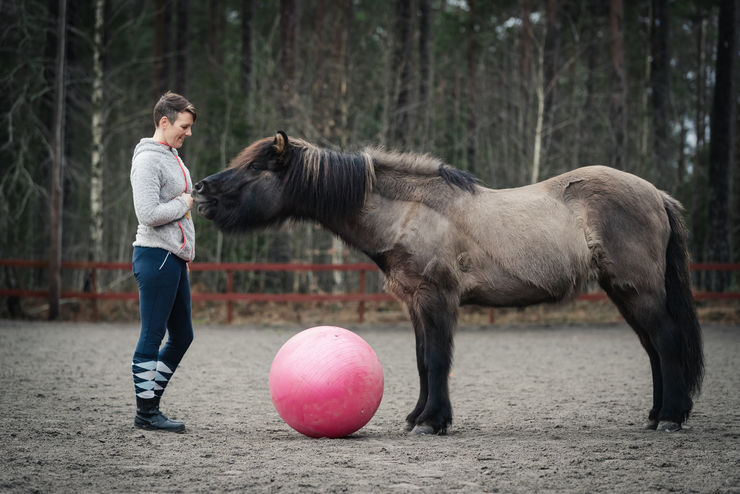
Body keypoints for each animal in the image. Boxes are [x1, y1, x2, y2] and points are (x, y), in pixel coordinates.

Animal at [194, 132, 704, 436]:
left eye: (256, 168)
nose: (201, 191)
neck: (408, 211)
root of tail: (655, 194)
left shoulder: (437, 297)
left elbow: (437, 360)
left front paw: (432, 422)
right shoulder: (415, 302)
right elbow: (423, 362)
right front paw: (419, 417)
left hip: (638, 289)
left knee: (666, 340)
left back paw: (671, 417)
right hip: (624, 292)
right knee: (654, 348)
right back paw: (658, 414)